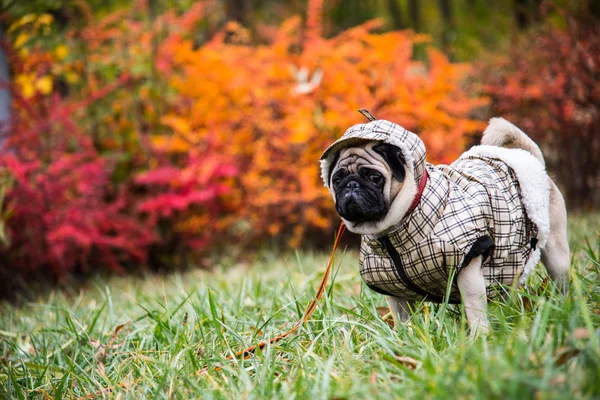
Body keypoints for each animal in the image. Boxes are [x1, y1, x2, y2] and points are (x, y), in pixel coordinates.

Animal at [322, 113, 568, 334]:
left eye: (374, 178)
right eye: (337, 179)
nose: (351, 185)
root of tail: (533, 161)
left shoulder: (468, 267)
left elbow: (475, 310)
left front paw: (480, 338)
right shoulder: (394, 291)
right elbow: (402, 320)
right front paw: (404, 340)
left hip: (556, 254)